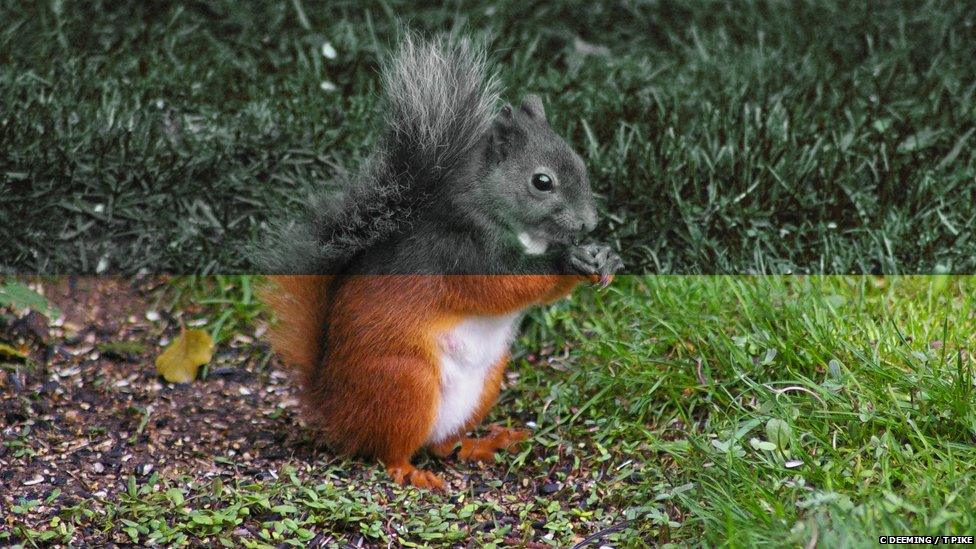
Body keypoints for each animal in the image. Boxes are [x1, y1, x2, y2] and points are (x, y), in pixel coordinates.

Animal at [260, 35, 620, 488]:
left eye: (582, 163)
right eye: (542, 182)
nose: (589, 222)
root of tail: (333, 410)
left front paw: (603, 255)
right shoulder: (459, 253)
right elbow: (507, 286)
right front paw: (568, 261)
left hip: (486, 381)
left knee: (442, 444)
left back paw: (483, 443)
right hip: (404, 381)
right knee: (390, 449)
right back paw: (410, 471)